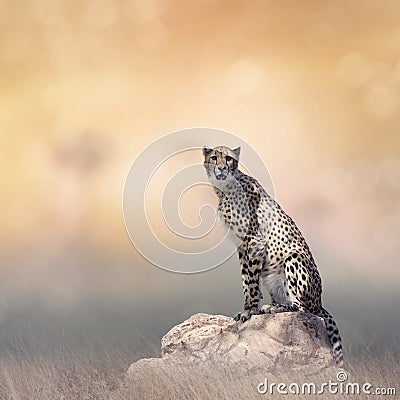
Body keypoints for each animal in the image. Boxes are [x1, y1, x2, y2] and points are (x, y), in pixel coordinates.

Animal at [203, 145, 344, 368]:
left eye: (229, 159)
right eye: (215, 157)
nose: (222, 168)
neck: (226, 188)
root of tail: (319, 302)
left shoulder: (254, 241)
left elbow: (251, 282)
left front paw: (250, 311)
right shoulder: (242, 246)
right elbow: (246, 279)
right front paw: (249, 308)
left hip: (294, 258)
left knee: (302, 308)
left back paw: (275, 308)